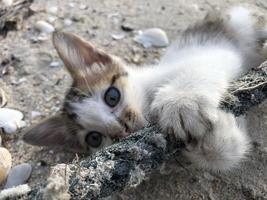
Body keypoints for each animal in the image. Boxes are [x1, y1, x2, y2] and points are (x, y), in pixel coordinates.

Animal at [23, 7, 267, 170]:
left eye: (112, 96)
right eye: (94, 138)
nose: (121, 129)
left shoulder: (210, 53)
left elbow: (198, 69)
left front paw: (182, 102)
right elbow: (225, 154)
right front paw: (220, 134)